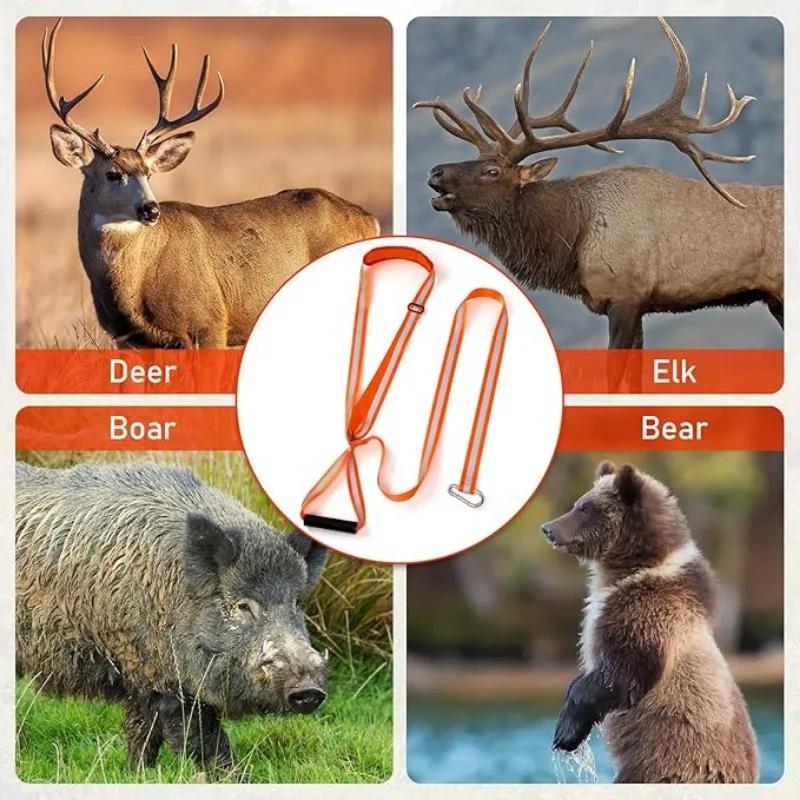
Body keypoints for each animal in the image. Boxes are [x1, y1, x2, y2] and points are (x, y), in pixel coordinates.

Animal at [43, 19, 379, 348]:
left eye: (148, 173)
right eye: (112, 173)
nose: (151, 210)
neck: (133, 286)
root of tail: (369, 219)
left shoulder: (209, 323)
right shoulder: (129, 340)